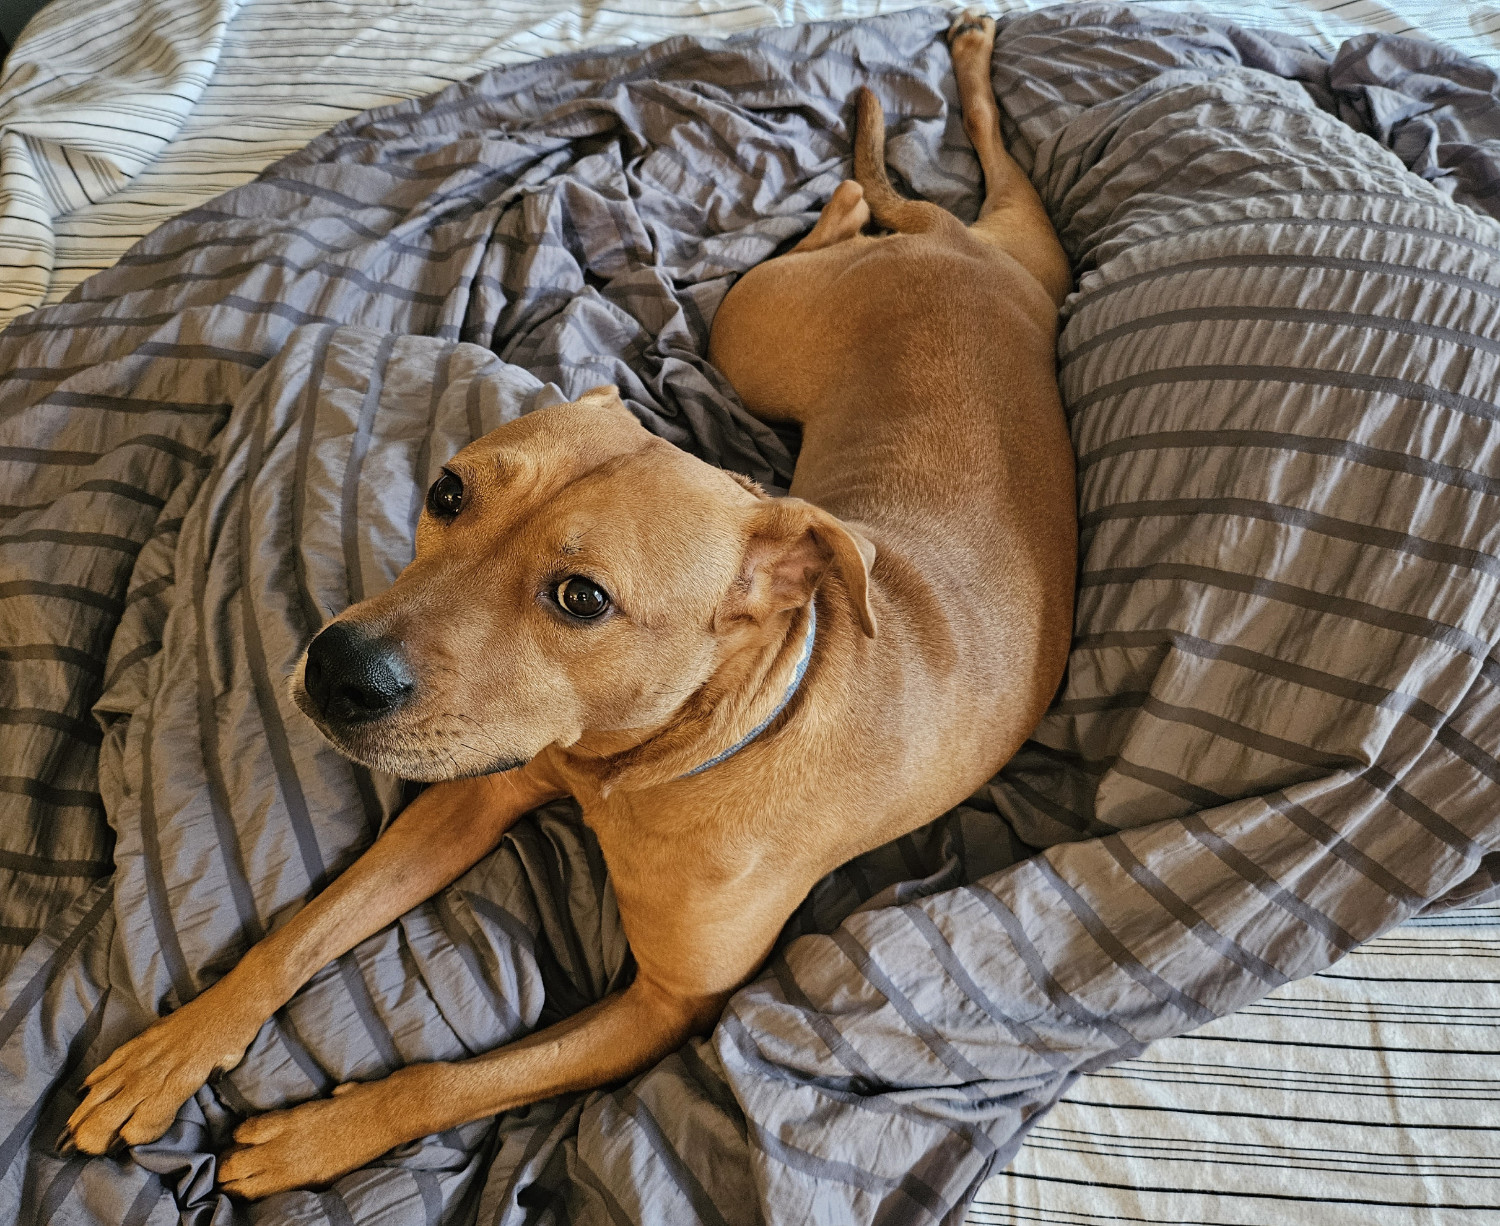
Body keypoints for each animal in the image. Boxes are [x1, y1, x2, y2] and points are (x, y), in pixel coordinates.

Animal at [55, 11, 1068, 1194]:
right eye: (447, 491)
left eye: (581, 597)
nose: (336, 670)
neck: (650, 759)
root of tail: (952, 251)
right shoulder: (477, 791)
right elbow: (304, 929)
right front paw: (178, 1043)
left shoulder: (666, 1007)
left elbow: (459, 1080)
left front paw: (318, 1137)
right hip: (799, 318)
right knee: (917, 186)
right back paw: (898, 138)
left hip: (773, 328)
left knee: (925, 188)